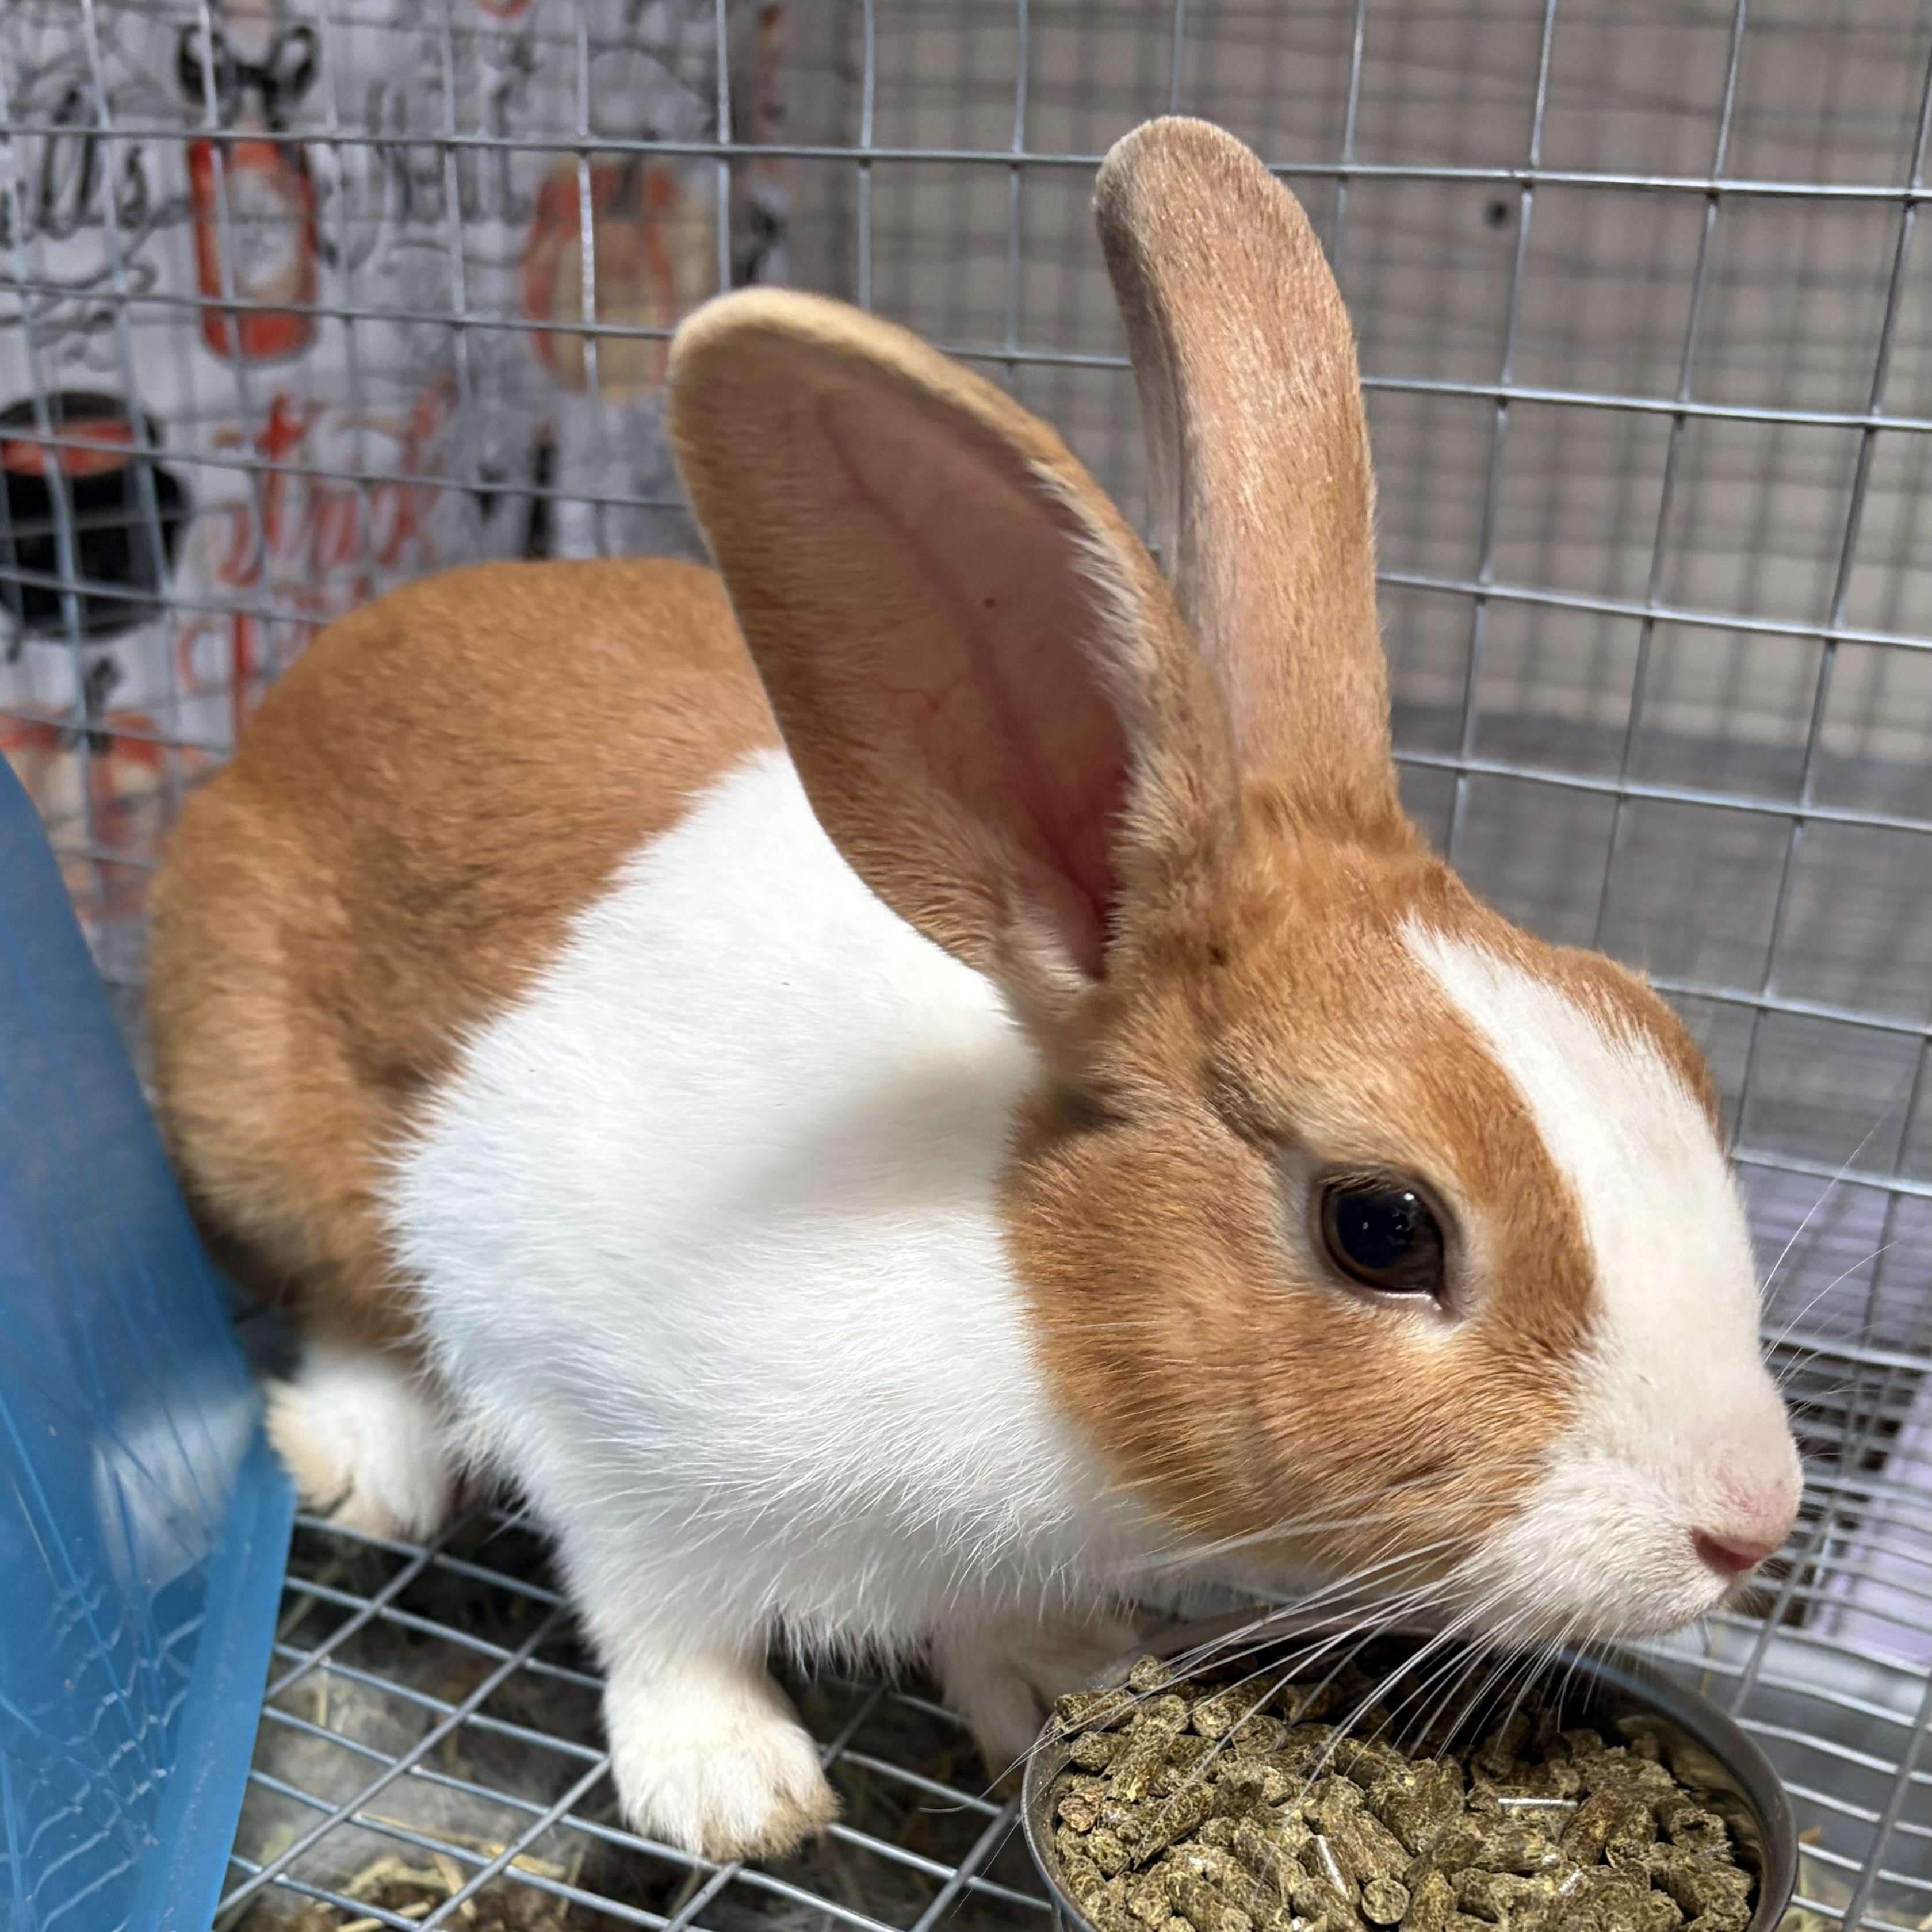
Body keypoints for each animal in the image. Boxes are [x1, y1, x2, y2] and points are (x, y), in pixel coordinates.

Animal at [146, 118, 1802, 1862]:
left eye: (1665, 1037)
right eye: (1380, 1225)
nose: (1749, 1521)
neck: (1018, 1295)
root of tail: (276, 715)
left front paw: (1049, 1680)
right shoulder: (570, 1381)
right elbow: (652, 1603)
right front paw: (731, 1788)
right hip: (263, 1116)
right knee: (347, 1295)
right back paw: (363, 1466)